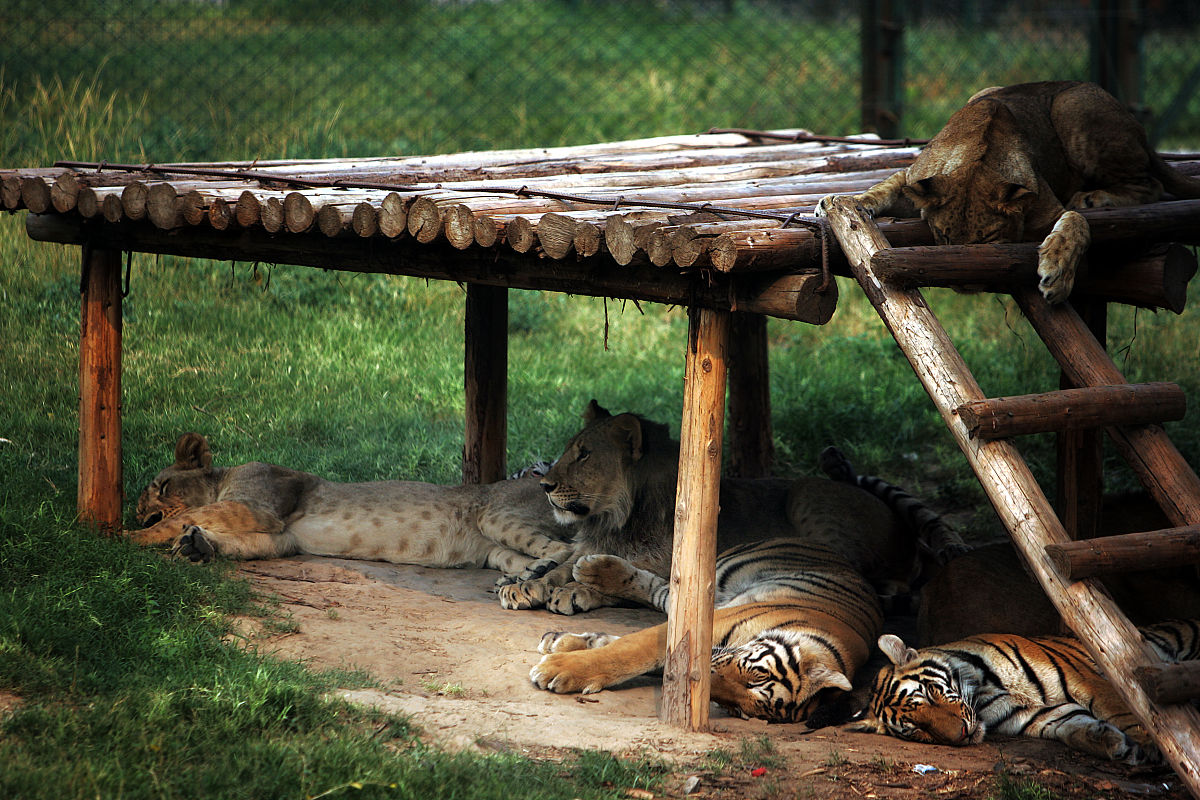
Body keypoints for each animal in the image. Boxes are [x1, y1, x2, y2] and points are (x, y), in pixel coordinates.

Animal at [530, 537, 888, 724]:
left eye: (738, 709)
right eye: (755, 676)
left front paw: (563, 645)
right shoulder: (710, 623)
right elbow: (629, 649)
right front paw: (559, 667)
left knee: (663, 590)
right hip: (716, 577)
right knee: (671, 582)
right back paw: (591, 569)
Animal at [854, 618, 1200, 762]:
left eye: (927, 693)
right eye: (915, 729)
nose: (961, 736)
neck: (983, 694)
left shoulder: (1088, 679)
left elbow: (1124, 709)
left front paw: (1152, 744)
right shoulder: (1039, 715)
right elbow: (1071, 727)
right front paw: (1110, 742)